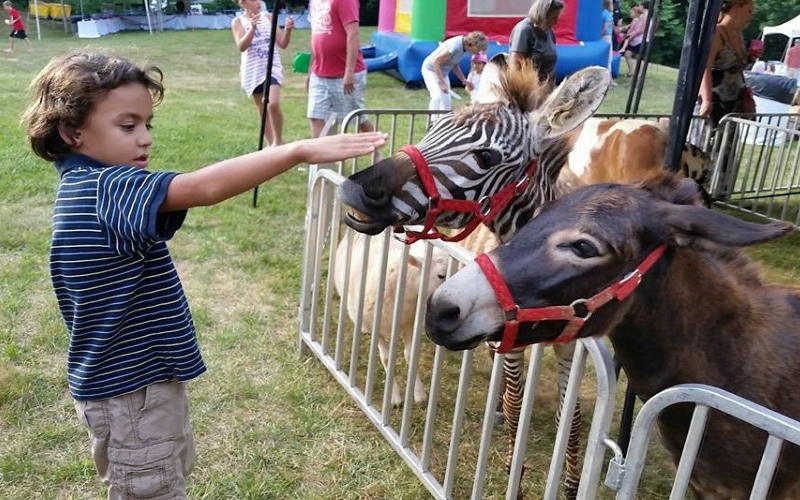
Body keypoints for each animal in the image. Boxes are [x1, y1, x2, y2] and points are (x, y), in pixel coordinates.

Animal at [340, 56, 612, 498]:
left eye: (486, 156)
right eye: (432, 129)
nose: (354, 190)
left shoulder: (576, 345)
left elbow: (570, 418)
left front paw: (571, 484)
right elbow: (518, 404)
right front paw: (514, 473)